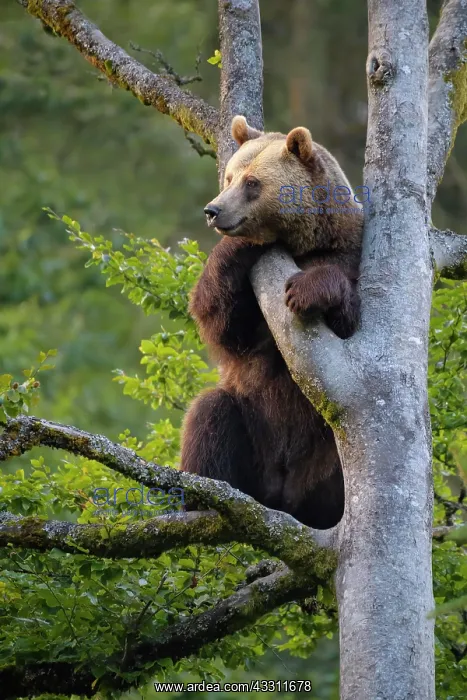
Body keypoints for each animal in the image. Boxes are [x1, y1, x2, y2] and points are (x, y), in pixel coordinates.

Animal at [180, 115, 363, 529]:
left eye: (253, 183)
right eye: (230, 176)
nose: (213, 210)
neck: (301, 242)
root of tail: (281, 497)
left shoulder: (351, 252)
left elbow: (350, 319)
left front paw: (307, 290)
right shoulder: (245, 298)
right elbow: (223, 324)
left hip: (324, 454)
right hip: (252, 433)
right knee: (210, 414)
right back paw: (203, 499)